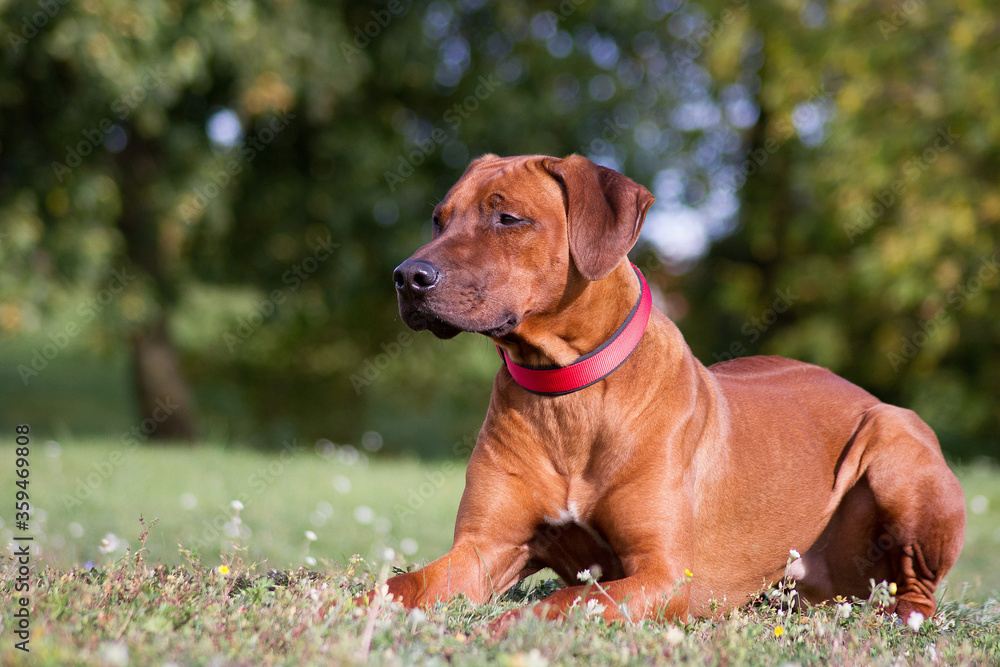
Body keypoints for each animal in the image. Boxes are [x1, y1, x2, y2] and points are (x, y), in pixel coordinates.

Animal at [384, 153, 968, 632]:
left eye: (507, 219)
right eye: (439, 219)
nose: (408, 276)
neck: (567, 390)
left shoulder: (664, 575)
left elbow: (567, 600)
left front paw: (503, 627)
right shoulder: (486, 547)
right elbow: (400, 584)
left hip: (896, 443)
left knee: (918, 592)